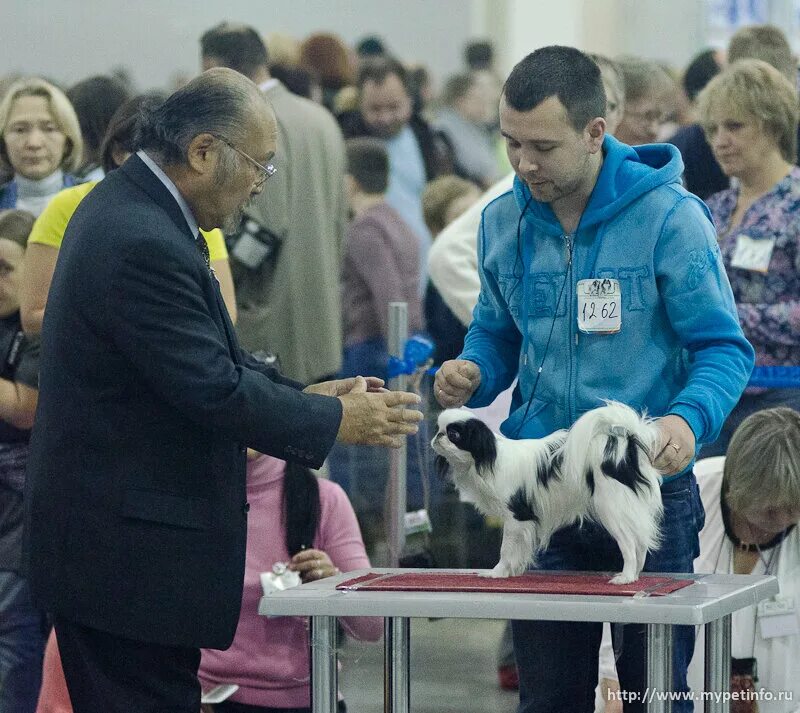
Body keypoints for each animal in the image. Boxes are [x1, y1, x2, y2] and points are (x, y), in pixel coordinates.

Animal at [432, 400, 664, 584]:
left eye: (454, 434)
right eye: (438, 429)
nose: (438, 436)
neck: (489, 458)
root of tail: (625, 448)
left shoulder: (516, 517)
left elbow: (506, 549)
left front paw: (497, 572)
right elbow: (520, 549)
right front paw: (513, 571)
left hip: (611, 508)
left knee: (629, 544)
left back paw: (626, 577)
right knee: (641, 542)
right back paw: (635, 574)